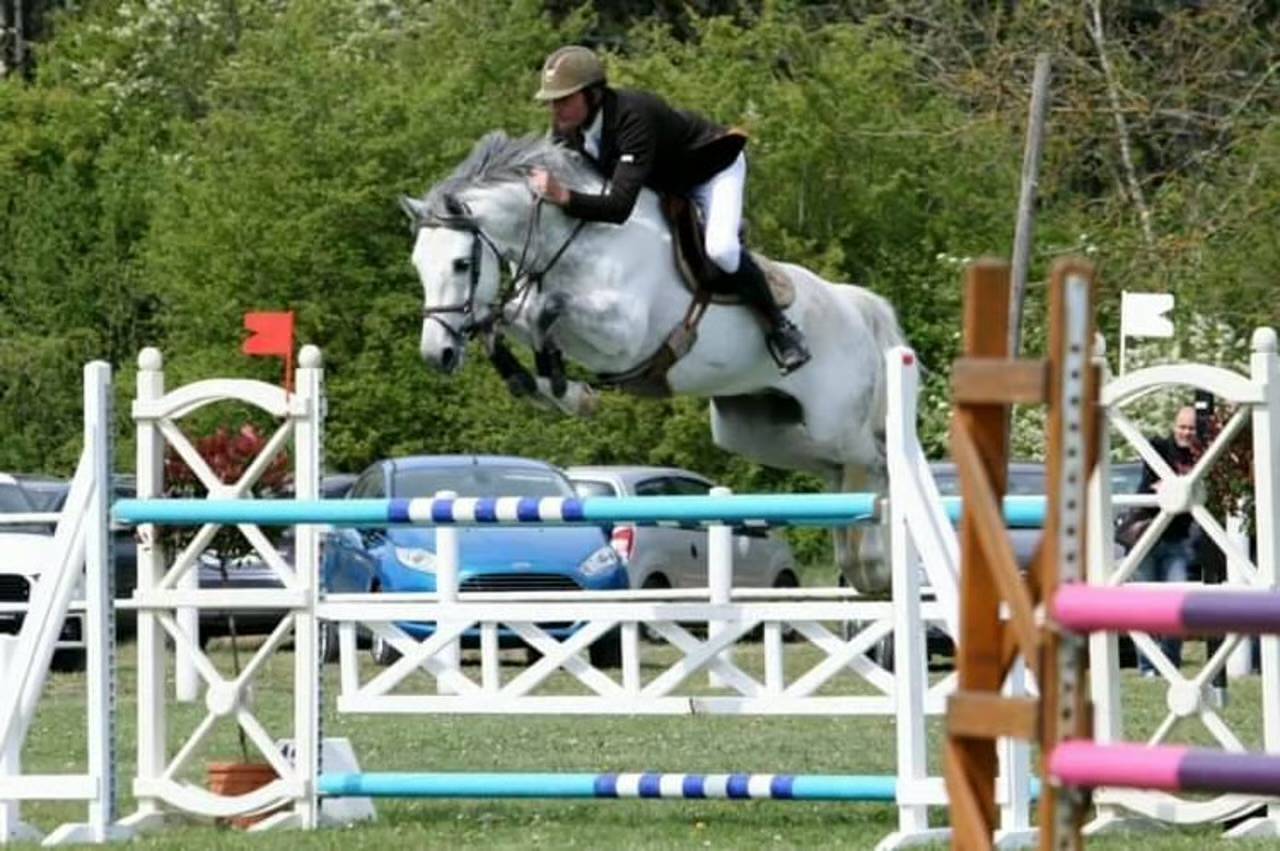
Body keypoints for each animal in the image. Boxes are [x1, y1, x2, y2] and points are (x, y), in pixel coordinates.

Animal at [401, 131, 905, 593]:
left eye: (462, 264)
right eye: (418, 266)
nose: (436, 355)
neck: (577, 239)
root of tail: (854, 306)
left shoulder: (623, 335)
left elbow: (536, 310)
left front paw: (565, 387)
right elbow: (512, 318)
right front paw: (550, 386)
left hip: (833, 419)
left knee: (876, 460)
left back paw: (874, 561)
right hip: (757, 433)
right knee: (837, 468)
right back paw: (861, 560)